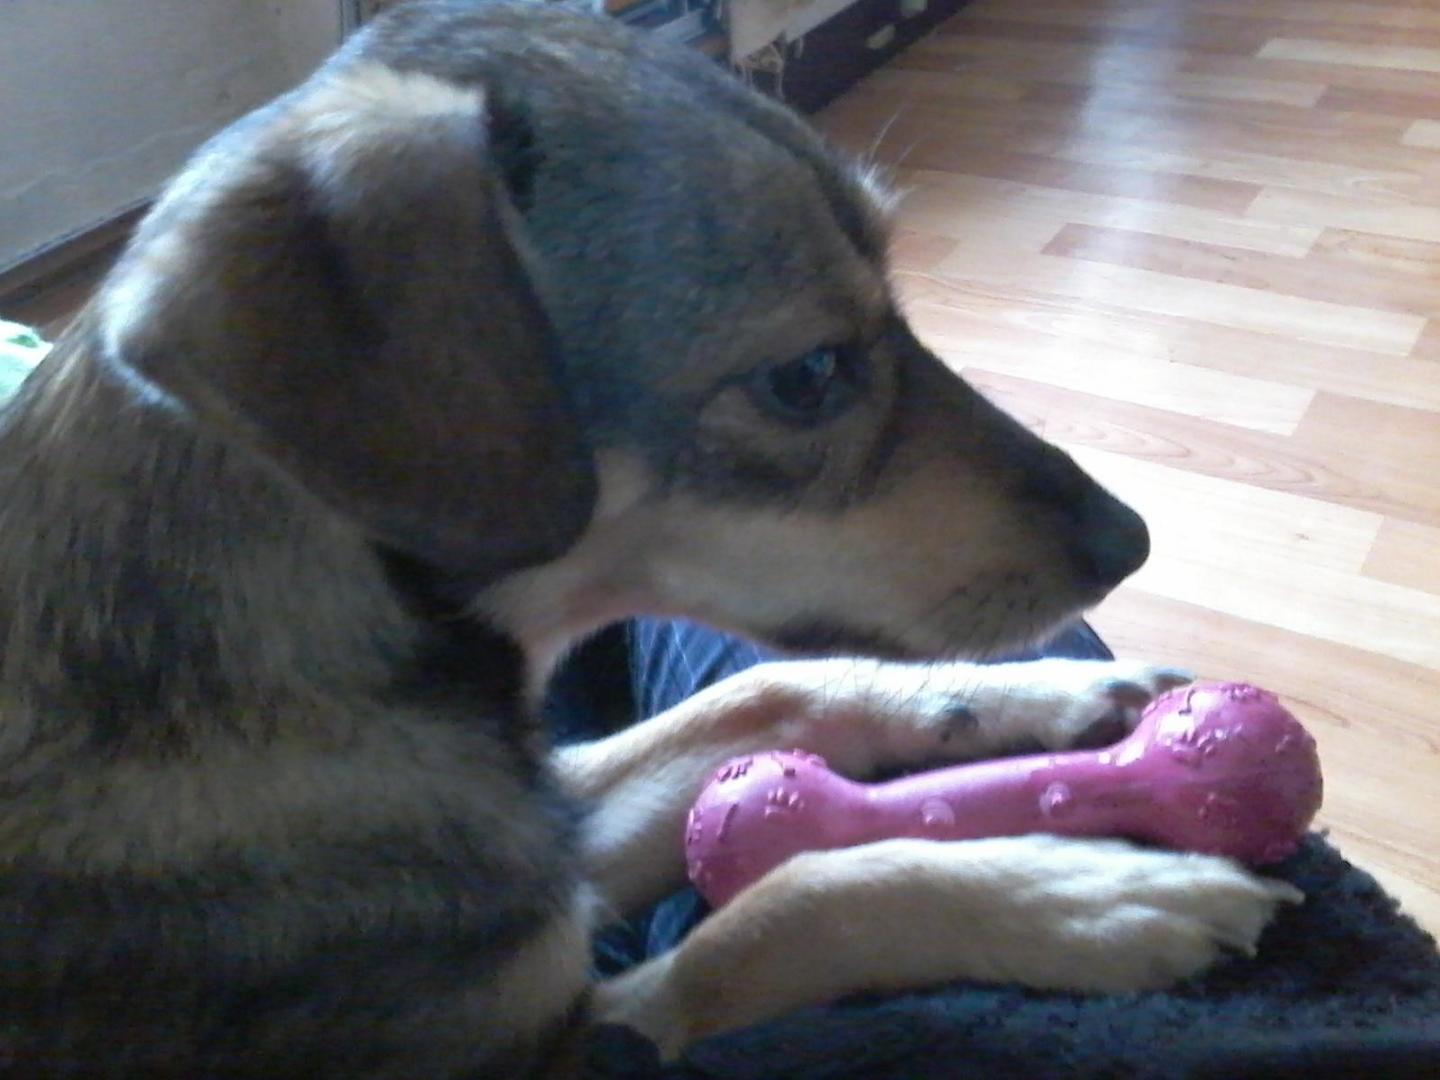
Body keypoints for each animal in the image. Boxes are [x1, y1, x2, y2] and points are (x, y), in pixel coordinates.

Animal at [0, 1, 1300, 1074]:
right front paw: (1089, 892)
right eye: (807, 376)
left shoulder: (562, 827)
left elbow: (758, 697)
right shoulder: (559, 1042)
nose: (1128, 541)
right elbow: (779, 910)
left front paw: (1026, 700)